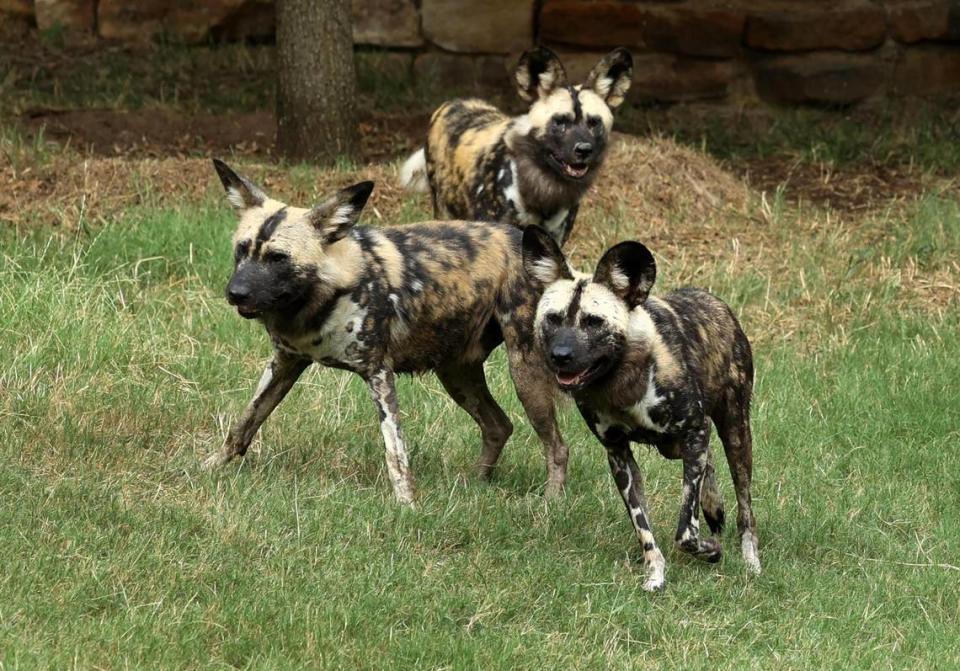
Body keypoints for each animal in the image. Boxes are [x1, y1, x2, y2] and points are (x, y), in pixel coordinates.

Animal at [198, 160, 568, 502]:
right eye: (242, 249)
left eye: (278, 258)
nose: (235, 293)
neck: (323, 295)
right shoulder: (285, 362)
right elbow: (244, 423)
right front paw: (210, 467)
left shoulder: (378, 372)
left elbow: (395, 451)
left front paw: (407, 504)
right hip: (456, 373)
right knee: (498, 425)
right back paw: (474, 484)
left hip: (524, 371)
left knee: (556, 446)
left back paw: (550, 502)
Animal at [520, 228, 760, 592]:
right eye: (553, 319)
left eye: (593, 322)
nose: (559, 356)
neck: (621, 383)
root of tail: (715, 302)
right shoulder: (619, 454)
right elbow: (643, 528)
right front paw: (656, 573)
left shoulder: (694, 430)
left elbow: (685, 532)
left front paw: (711, 551)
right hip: (675, 446)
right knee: (709, 464)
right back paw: (714, 507)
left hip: (734, 433)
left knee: (745, 506)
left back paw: (750, 559)